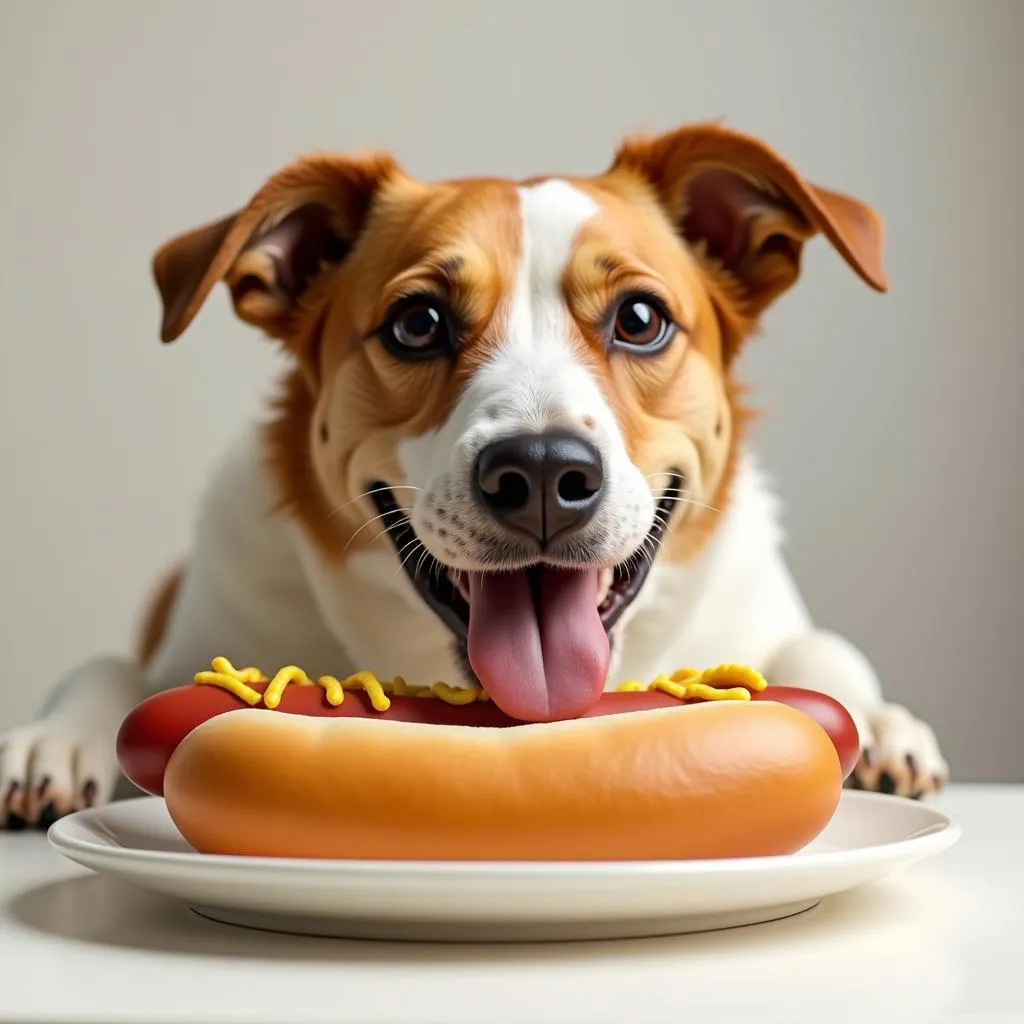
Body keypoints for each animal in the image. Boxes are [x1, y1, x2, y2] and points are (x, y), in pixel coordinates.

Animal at [0, 123, 946, 827]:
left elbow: (822, 648)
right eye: (417, 323)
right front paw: (60, 739)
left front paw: (882, 731)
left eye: (641, 318)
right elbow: (113, 668)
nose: (542, 473)